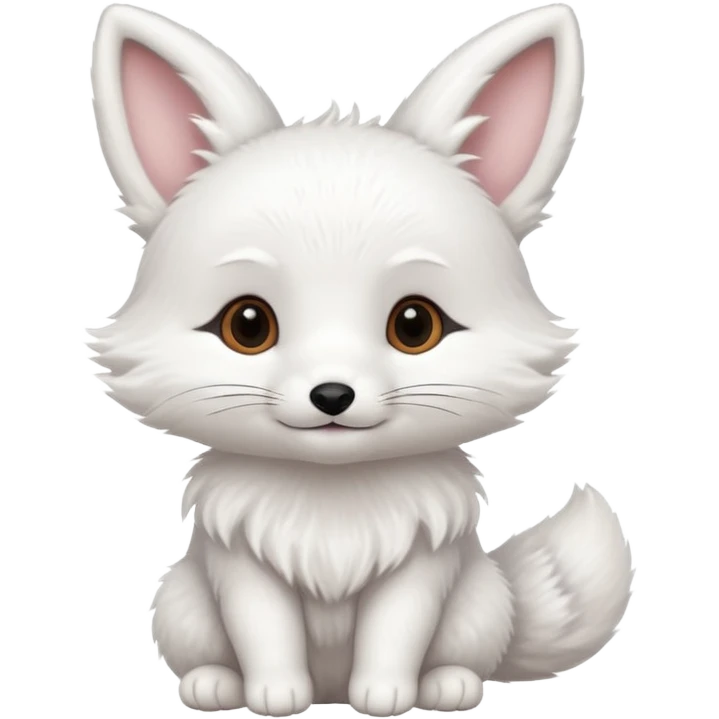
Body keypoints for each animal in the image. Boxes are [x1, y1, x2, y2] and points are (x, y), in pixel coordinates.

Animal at [86, 3, 633, 716]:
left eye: (415, 325)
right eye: (247, 325)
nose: (332, 395)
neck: (334, 500)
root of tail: (330, 687)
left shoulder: (421, 567)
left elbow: (396, 630)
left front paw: (386, 695)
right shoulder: (241, 566)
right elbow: (264, 630)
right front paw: (275, 694)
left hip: (479, 602)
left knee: (466, 650)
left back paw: (449, 685)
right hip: (180, 602)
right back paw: (214, 685)